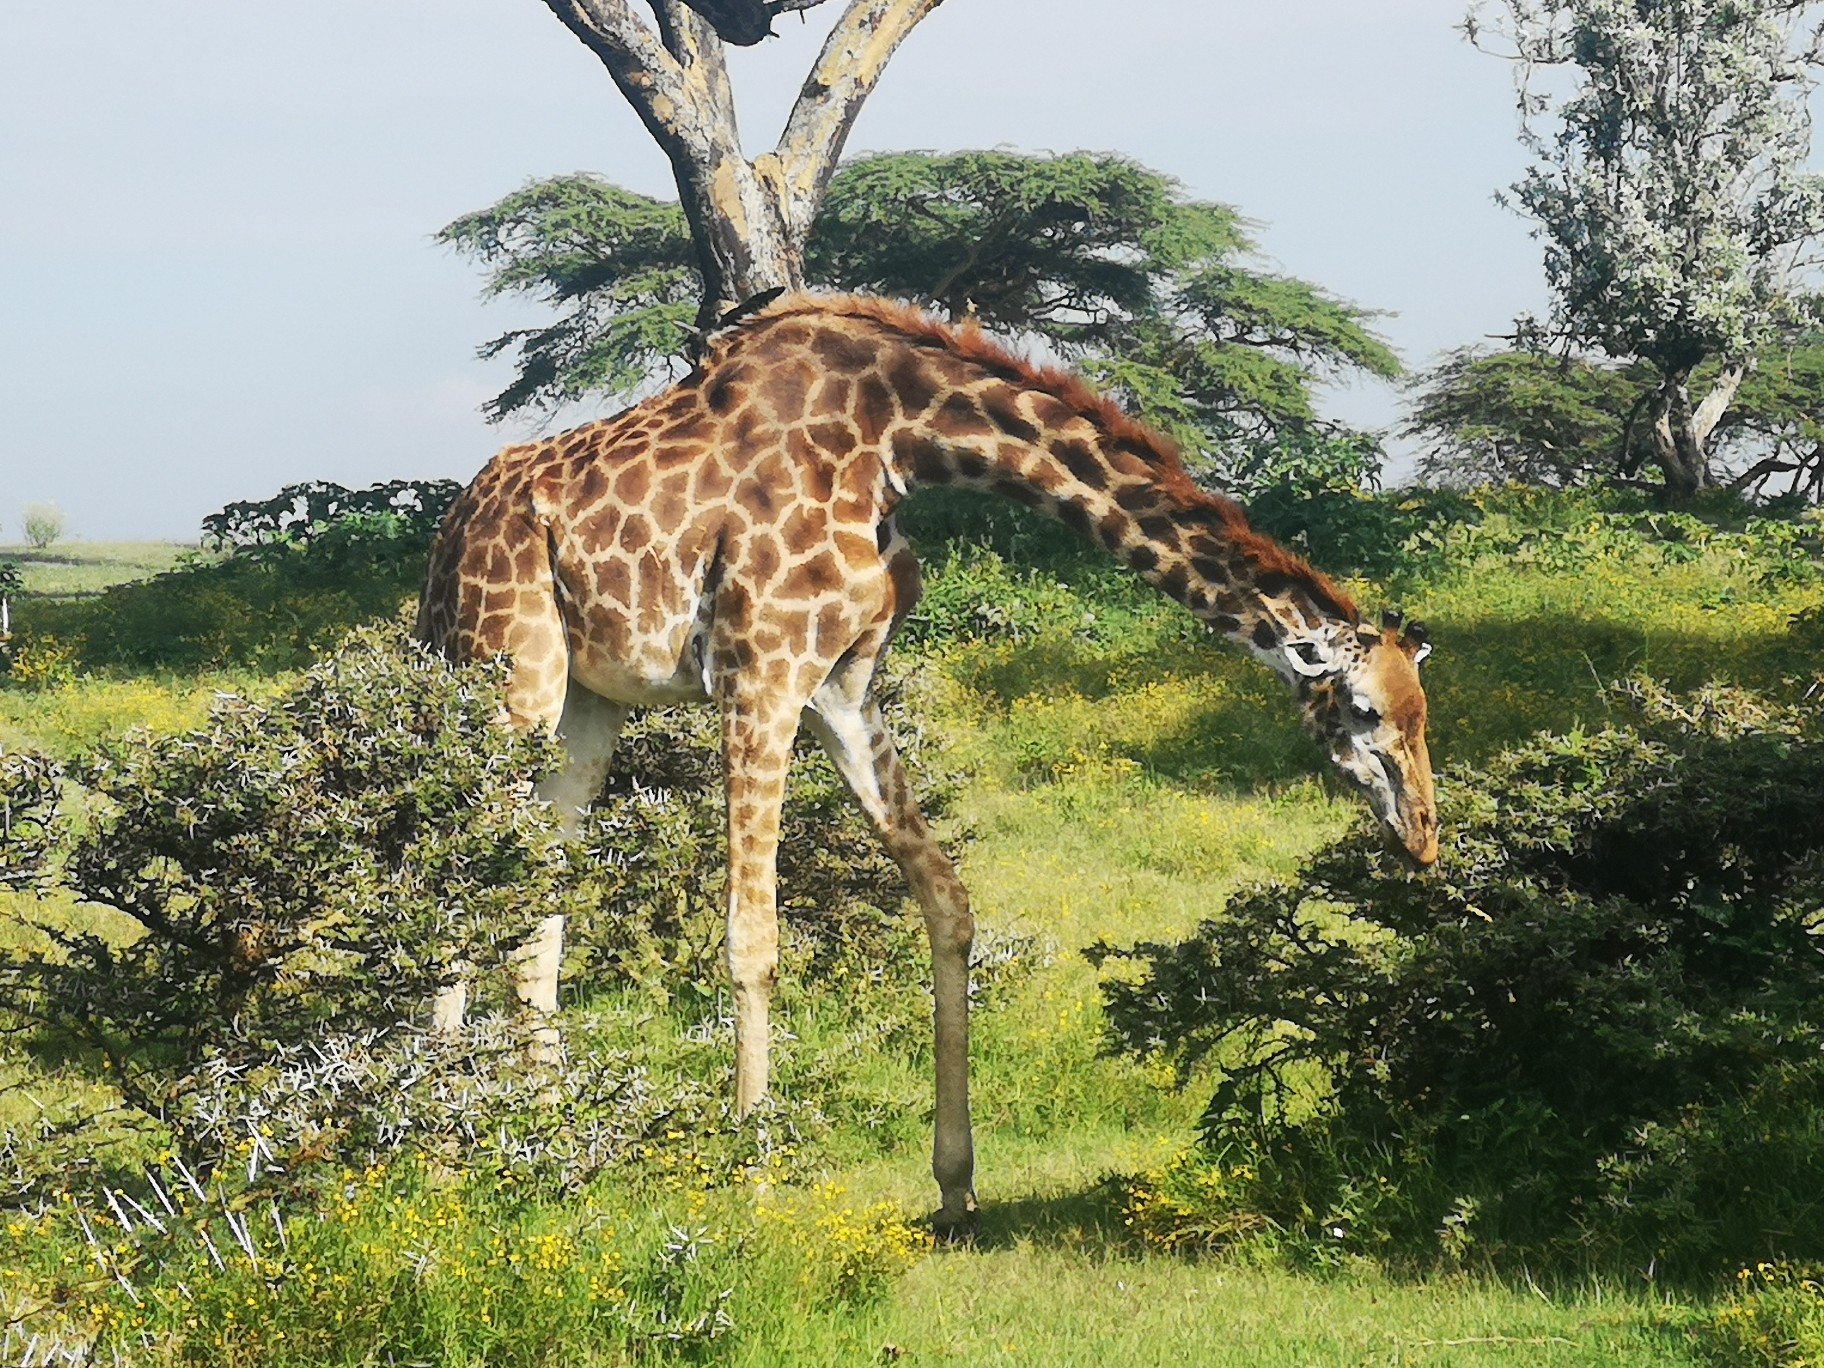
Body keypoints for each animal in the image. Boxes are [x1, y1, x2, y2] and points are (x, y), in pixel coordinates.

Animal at [414, 295, 1437, 1240]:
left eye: (1426, 713)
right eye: (1364, 711)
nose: (1425, 835)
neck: (897, 441)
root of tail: (448, 538)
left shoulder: (842, 689)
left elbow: (948, 901)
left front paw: (956, 1186)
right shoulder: (760, 674)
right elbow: (753, 939)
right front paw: (756, 1182)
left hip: (588, 702)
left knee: (531, 903)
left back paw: (550, 1145)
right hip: (506, 673)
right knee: (457, 885)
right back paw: (434, 1156)